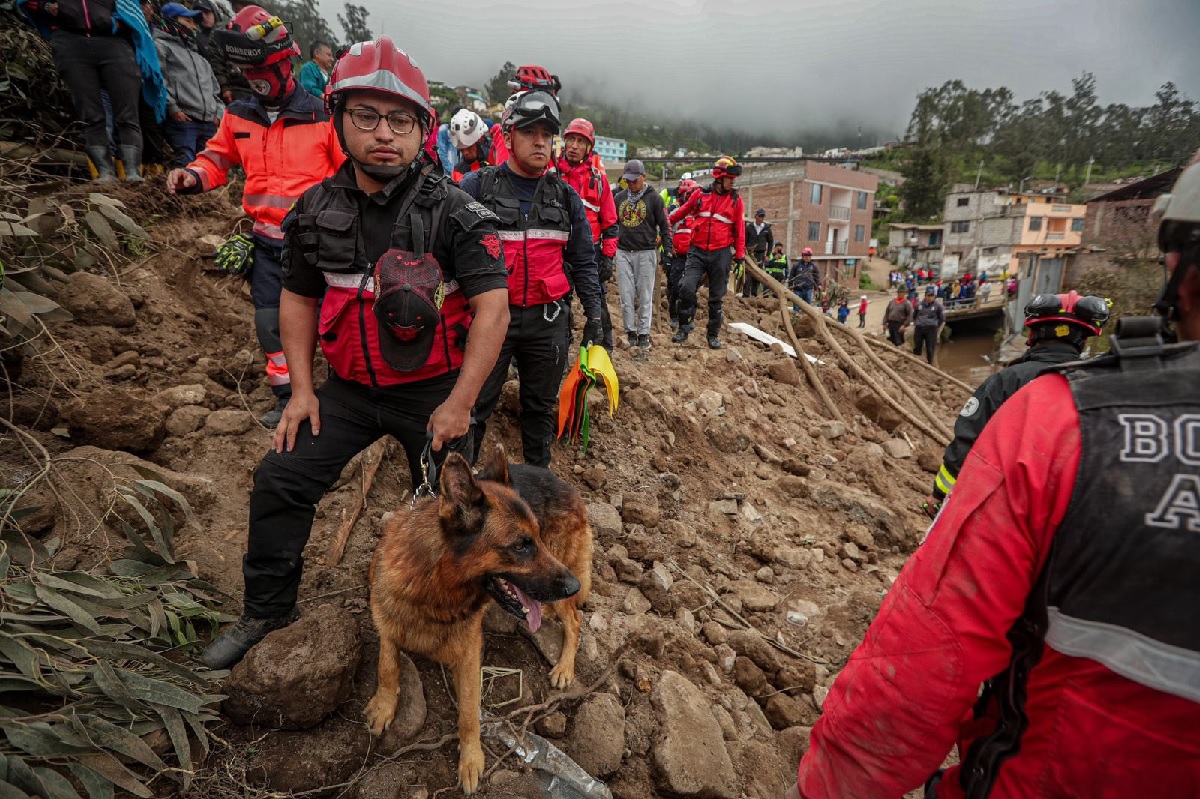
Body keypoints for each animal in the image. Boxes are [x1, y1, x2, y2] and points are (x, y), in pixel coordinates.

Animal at [362, 441, 592, 791]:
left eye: (537, 538)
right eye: (521, 546)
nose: (573, 585)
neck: (434, 587)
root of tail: (567, 486)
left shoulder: (470, 654)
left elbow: (469, 713)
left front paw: (471, 759)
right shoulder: (388, 620)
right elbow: (387, 665)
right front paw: (384, 704)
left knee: (575, 619)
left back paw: (565, 667)